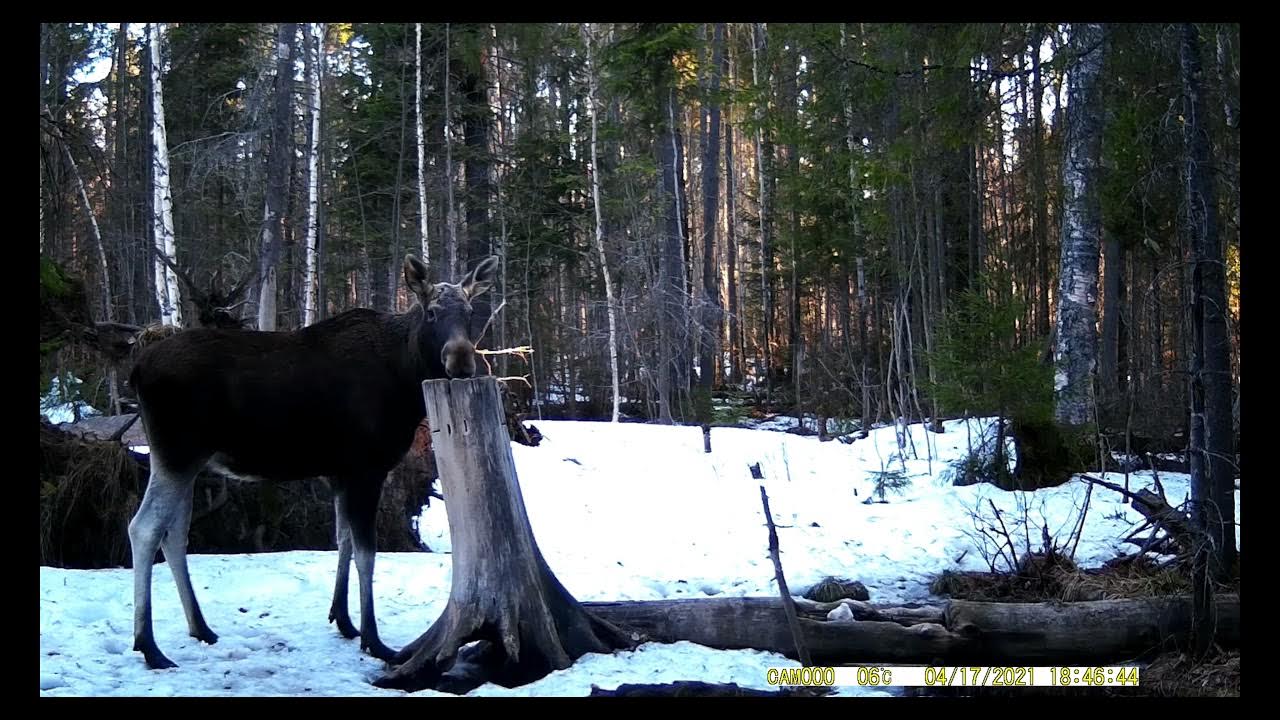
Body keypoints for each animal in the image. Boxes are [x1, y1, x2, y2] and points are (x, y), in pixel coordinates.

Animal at [123, 252, 494, 666]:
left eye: (470, 312)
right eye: (431, 312)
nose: (461, 361)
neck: (406, 379)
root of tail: (135, 371)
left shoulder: (341, 473)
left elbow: (343, 539)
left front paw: (344, 620)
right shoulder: (367, 468)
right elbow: (366, 552)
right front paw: (374, 640)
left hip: (187, 463)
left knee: (174, 535)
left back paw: (199, 628)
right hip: (176, 454)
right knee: (144, 528)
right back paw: (148, 645)